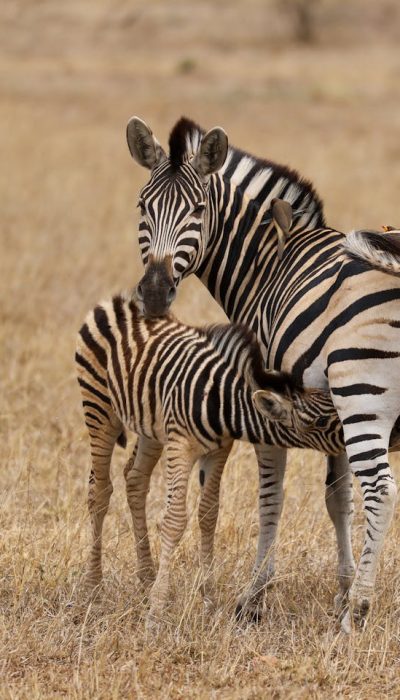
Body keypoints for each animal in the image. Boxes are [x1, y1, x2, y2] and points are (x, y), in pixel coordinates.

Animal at [76, 292, 340, 628]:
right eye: (320, 421)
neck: (220, 401)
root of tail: (119, 301)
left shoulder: (219, 449)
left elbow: (209, 514)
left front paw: (207, 598)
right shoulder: (180, 445)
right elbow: (175, 520)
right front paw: (157, 611)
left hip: (151, 425)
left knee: (135, 479)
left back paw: (146, 578)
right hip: (99, 408)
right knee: (99, 491)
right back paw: (93, 587)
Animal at [125, 115, 400, 628]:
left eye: (197, 210)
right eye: (142, 207)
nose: (152, 294)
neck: (269, 261)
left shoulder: (271, 402)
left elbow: (271, 498)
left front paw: (255, 596)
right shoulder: (329, 416)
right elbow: (338, 500)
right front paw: (340, 588)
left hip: (363, 398)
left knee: (380, 491)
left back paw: (359, 613)